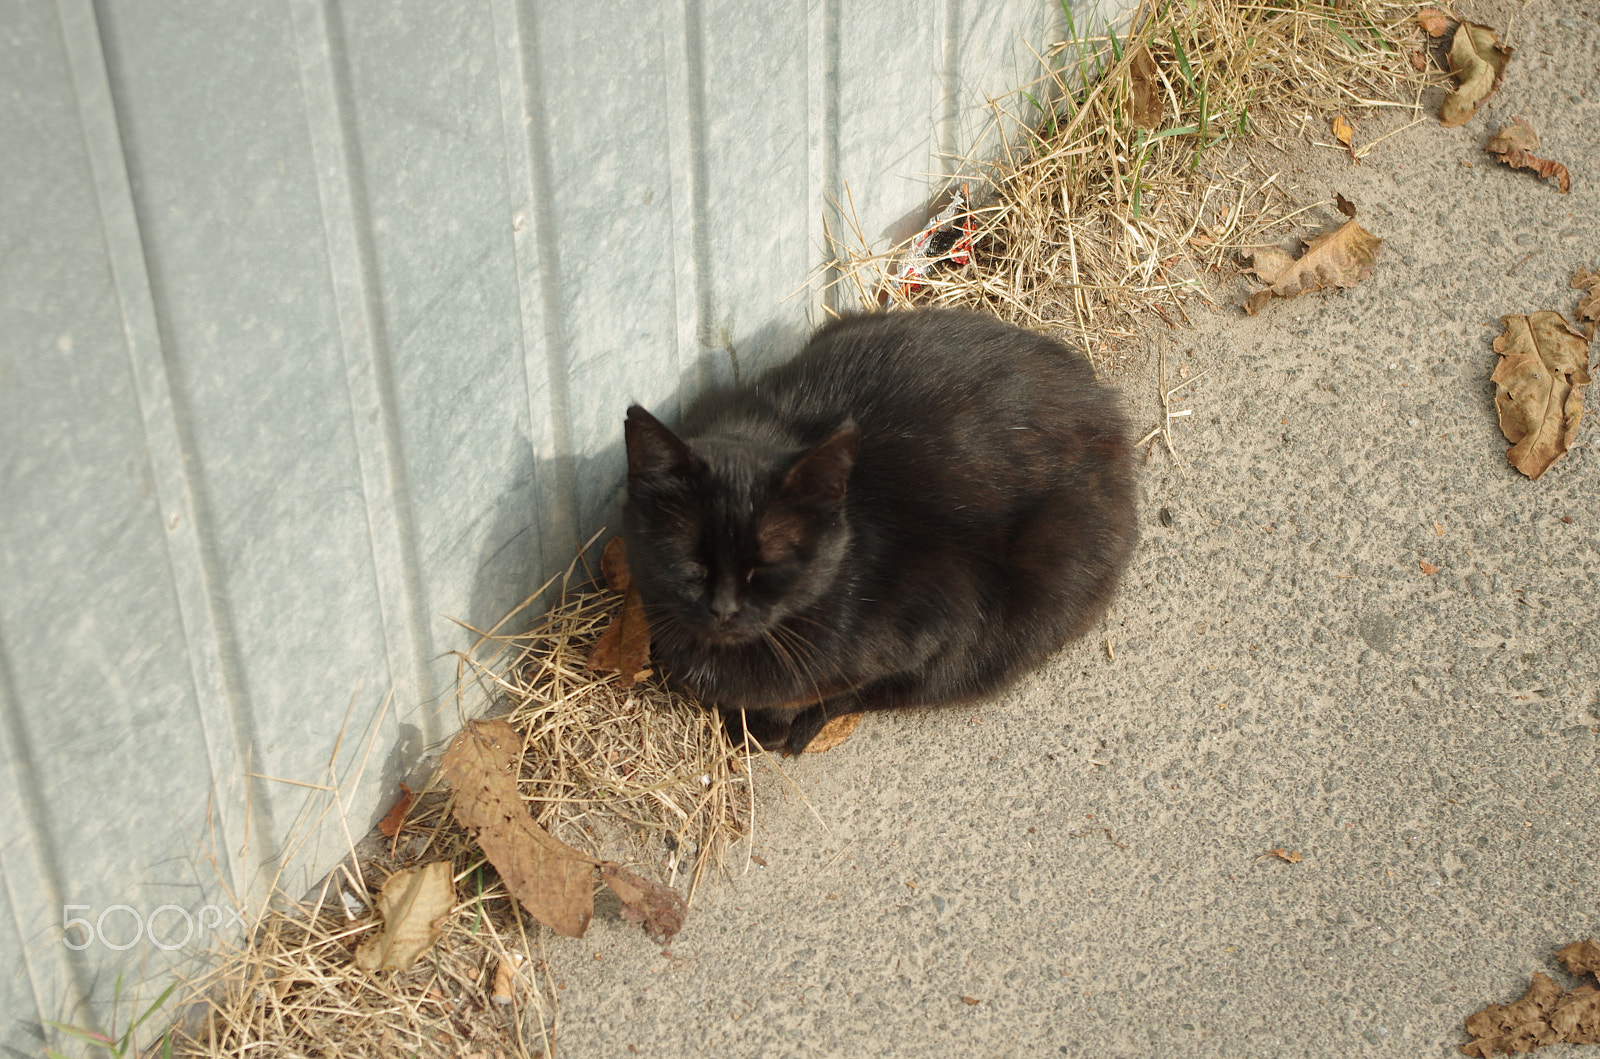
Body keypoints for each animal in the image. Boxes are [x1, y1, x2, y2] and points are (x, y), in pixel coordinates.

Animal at [624, 307, 1139, 755]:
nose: (723, 610)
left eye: (768, 565)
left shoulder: (940, 619)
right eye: (690, 562)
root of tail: (1104, 403)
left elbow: (851, 686)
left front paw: (772, 725)